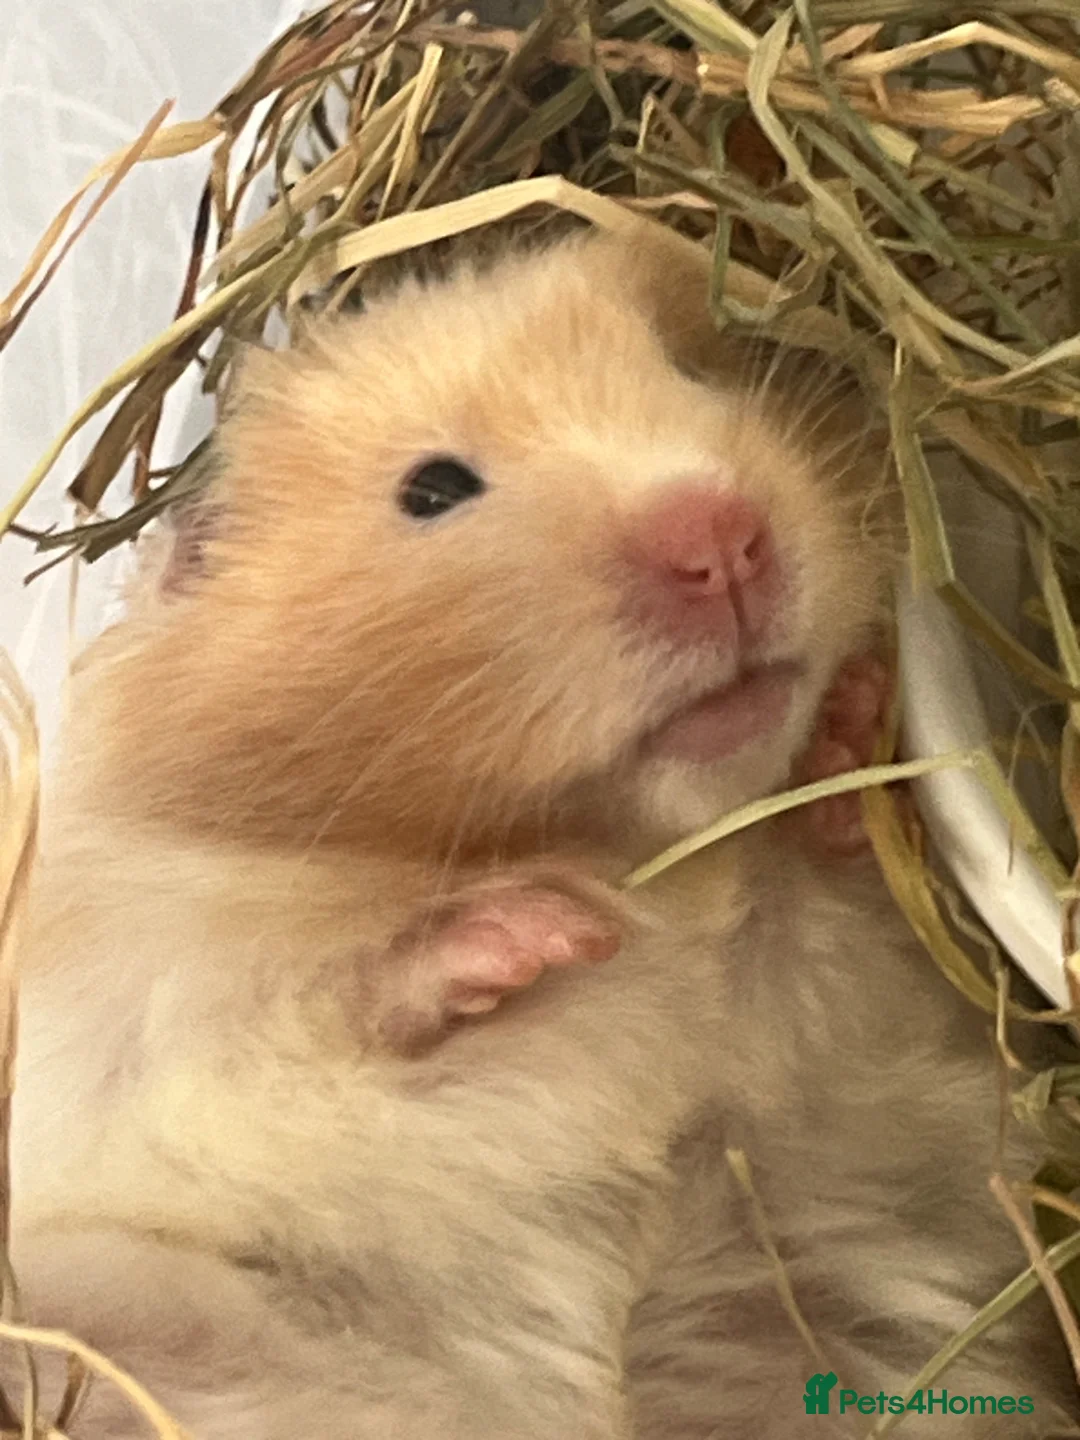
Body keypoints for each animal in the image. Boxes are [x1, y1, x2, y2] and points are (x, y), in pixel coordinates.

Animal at [6, 228, 1074, 1438]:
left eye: (691, 372)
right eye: (434, 488)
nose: (723, 537)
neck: (632, 850)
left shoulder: (861, 990)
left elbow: (822, 891)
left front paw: (848, 724)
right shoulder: (154, 1025)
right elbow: (324, 1008)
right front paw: (545, 935)